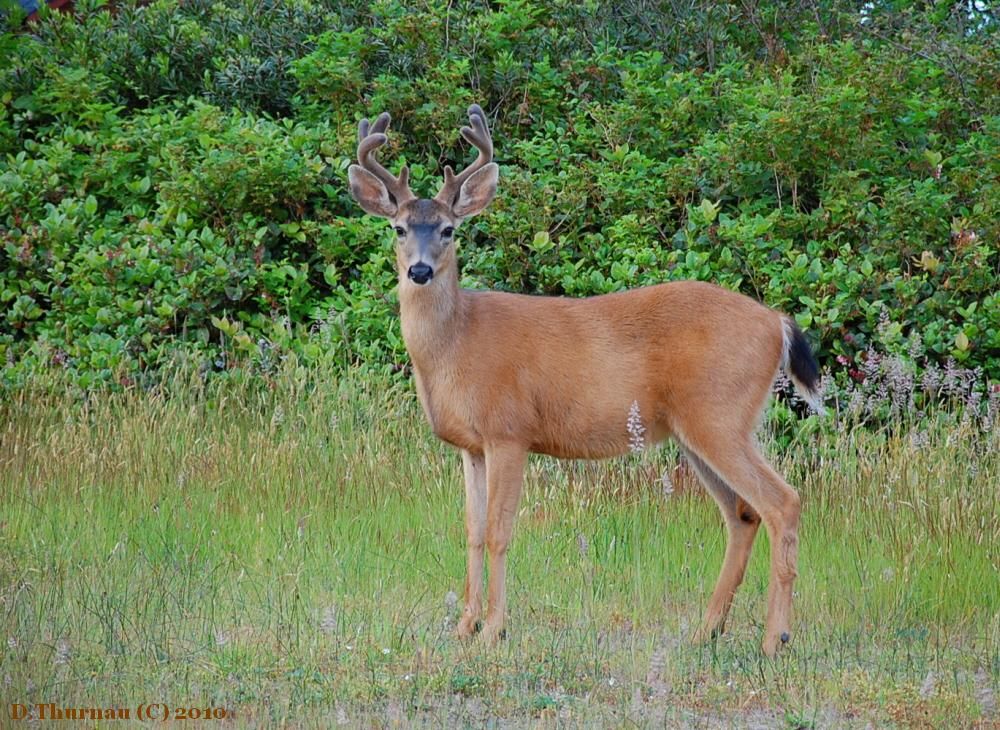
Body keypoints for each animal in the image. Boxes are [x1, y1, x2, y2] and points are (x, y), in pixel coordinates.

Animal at [347, 104, 823, 656]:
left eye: (448, 230)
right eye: (399, 228)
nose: (420, 271)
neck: (456, 346)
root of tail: (777, 323)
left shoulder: (510, 431)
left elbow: (500, 531)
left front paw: (494, 629)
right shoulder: (471, 446)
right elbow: (471, 529)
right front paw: (464, 626)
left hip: (720, 415)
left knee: (783, 502)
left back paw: (774, 639)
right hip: (700, 430)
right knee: (742, 514)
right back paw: (706, 630)